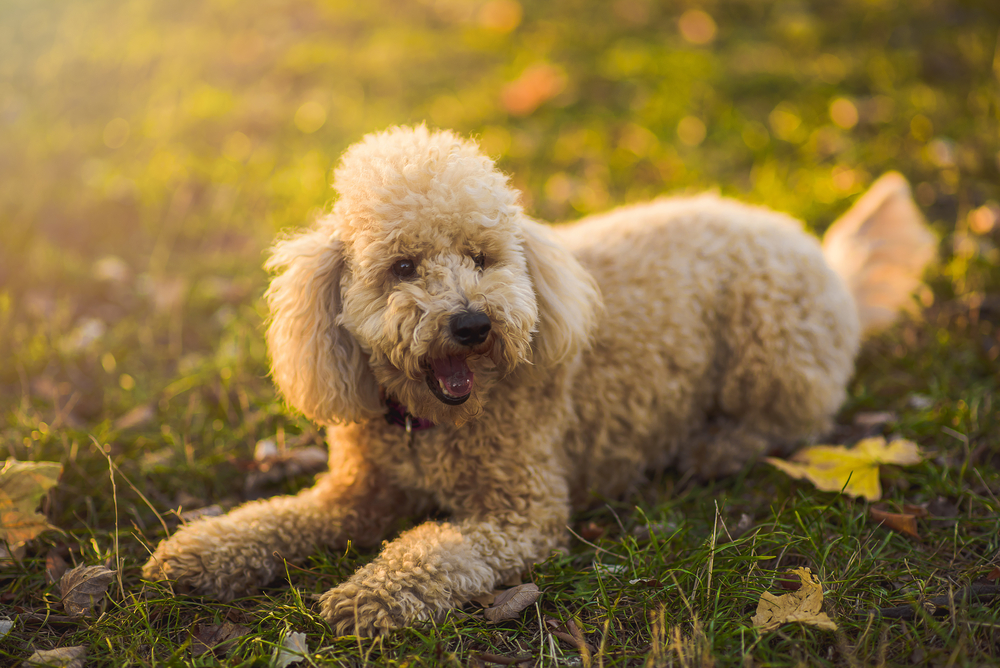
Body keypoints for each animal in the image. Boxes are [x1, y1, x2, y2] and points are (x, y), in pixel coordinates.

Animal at [143, 124, 936, 636]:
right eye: (402, 267)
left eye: (482, 255)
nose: (471, 324)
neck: (428, 425)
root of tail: (824, 257)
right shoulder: (355, 494)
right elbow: (277, 518)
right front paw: (204, 551)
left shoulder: (521, 512)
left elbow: (437, 547)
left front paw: (371, 594)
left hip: (770, 342)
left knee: (795, 419)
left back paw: (717, 446)